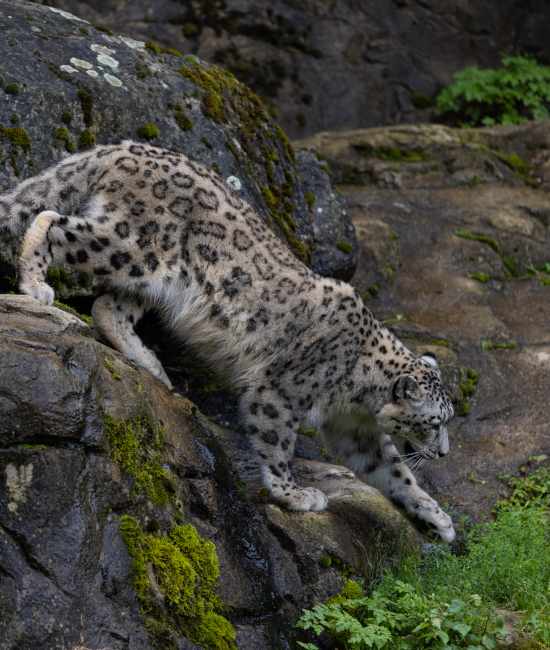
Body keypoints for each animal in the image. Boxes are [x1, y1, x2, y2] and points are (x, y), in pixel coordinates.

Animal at [0, 141, 456, 541]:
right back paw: (36, 285)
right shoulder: (279, 392)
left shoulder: (354, 431)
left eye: (446, 421)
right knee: (52, 220)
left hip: (154, 278)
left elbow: (394, 472)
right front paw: (295, 495)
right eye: (434, 423)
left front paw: (437, 517)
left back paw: (150, 364)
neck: (358, 399)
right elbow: (277, 444)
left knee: (107, 306)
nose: (445, 454)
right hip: (134, 246)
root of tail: (124, 147)